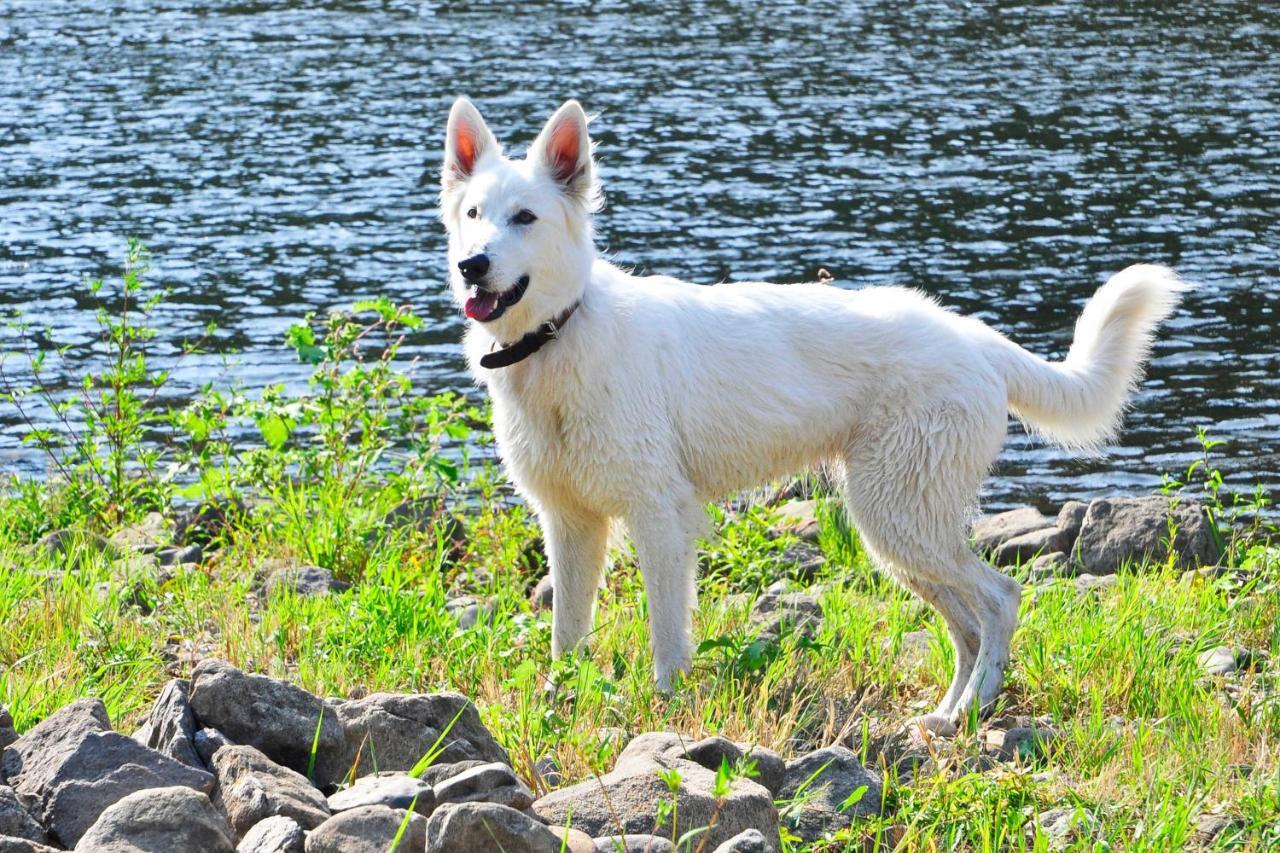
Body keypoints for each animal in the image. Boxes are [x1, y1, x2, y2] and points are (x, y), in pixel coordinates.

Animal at [437, 96, 1177, 722]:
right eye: (473, 215)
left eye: (525, 218)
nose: (473, 265)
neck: (558, 334)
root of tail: (973, 336)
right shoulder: (570, 524)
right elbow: (567, 633)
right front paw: (558, 703)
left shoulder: (659, 516)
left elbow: (666, 634)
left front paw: (667, 706)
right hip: (898, 530)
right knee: (967, 623)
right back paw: (946, 714)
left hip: (898, 517)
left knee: (999, 599)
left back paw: (972, 710)